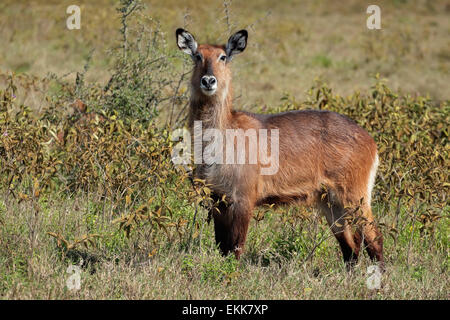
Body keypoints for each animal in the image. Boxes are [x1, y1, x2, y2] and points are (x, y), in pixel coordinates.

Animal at [176, 27, 384, 268]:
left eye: (223, 57)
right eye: (197, 55)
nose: (209, 80)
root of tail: (370, 140)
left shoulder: (243, 199)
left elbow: (236, 248)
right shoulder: (218, 198)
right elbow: (222, 247)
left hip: (355, 196)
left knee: (374, 237)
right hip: (330, 202)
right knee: (352, 246)